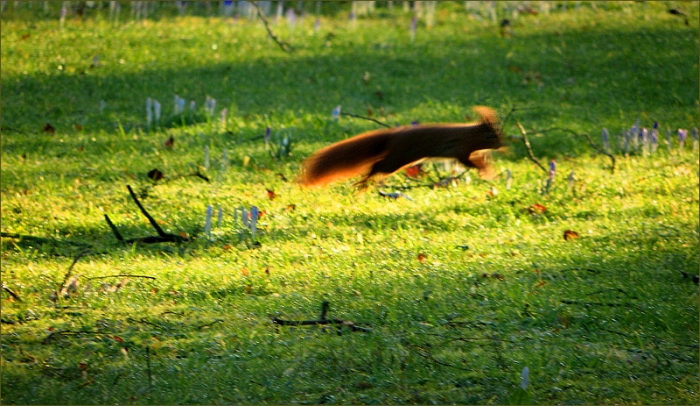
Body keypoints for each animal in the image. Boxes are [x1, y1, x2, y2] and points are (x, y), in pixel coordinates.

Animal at [298, 106, 503, 188]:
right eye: (491, 136)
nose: (502, 145)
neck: (471, 134)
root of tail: (394, 136)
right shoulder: (460, 148)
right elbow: (467, 162)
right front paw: (485, 170)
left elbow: (478, 160)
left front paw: (487, 167)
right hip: (398, 158)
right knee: (377, 166)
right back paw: (363, 182)